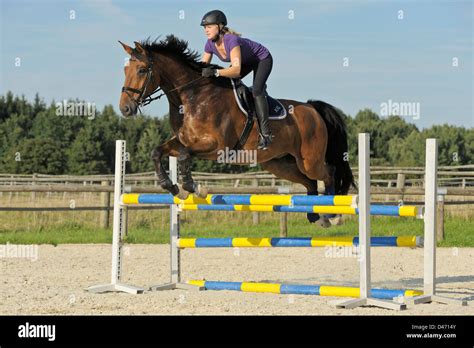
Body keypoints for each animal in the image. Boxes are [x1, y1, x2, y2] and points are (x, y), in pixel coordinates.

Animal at [119, 34, 356, 226]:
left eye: (142, 70)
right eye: (125, 70)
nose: (125, 108)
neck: (192, 97)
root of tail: (312, 108)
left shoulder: (217, 147)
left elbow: (186, 155)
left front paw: (193, 187)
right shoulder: (182, 141)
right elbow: (157, 151)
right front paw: (170, 185)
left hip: (309, 160)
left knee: (328, 173)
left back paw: (331, 215)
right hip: (280, 164)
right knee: (310, 182)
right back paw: (315, 215)